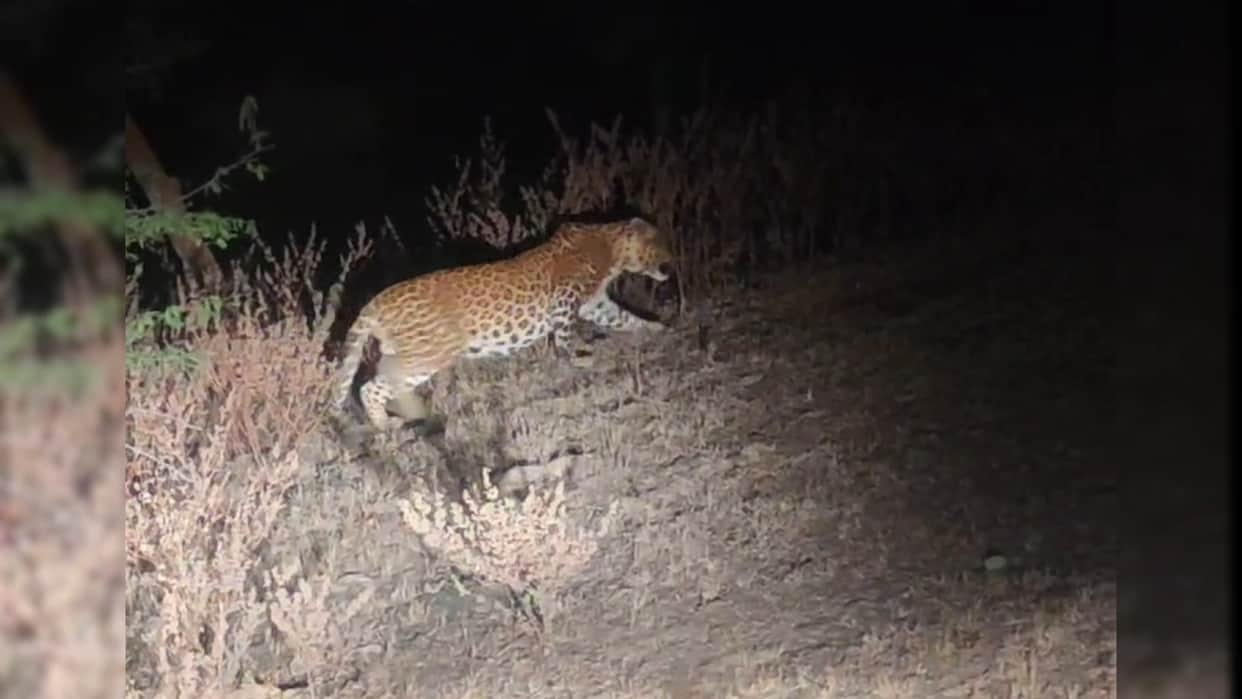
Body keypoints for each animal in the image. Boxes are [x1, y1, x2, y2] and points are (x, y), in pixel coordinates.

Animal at [334, 216, 677, 433]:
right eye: (659, 246)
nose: (670, 266)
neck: (611, 249)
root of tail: (378, 299)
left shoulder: (595, 304)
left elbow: (623, 316)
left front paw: (656, 327)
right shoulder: (564, 300)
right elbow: (565, 336)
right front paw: (575, 358)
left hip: (405, 353)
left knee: (379, 379)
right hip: (426, 355)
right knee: (370, 387)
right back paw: (386, 424)